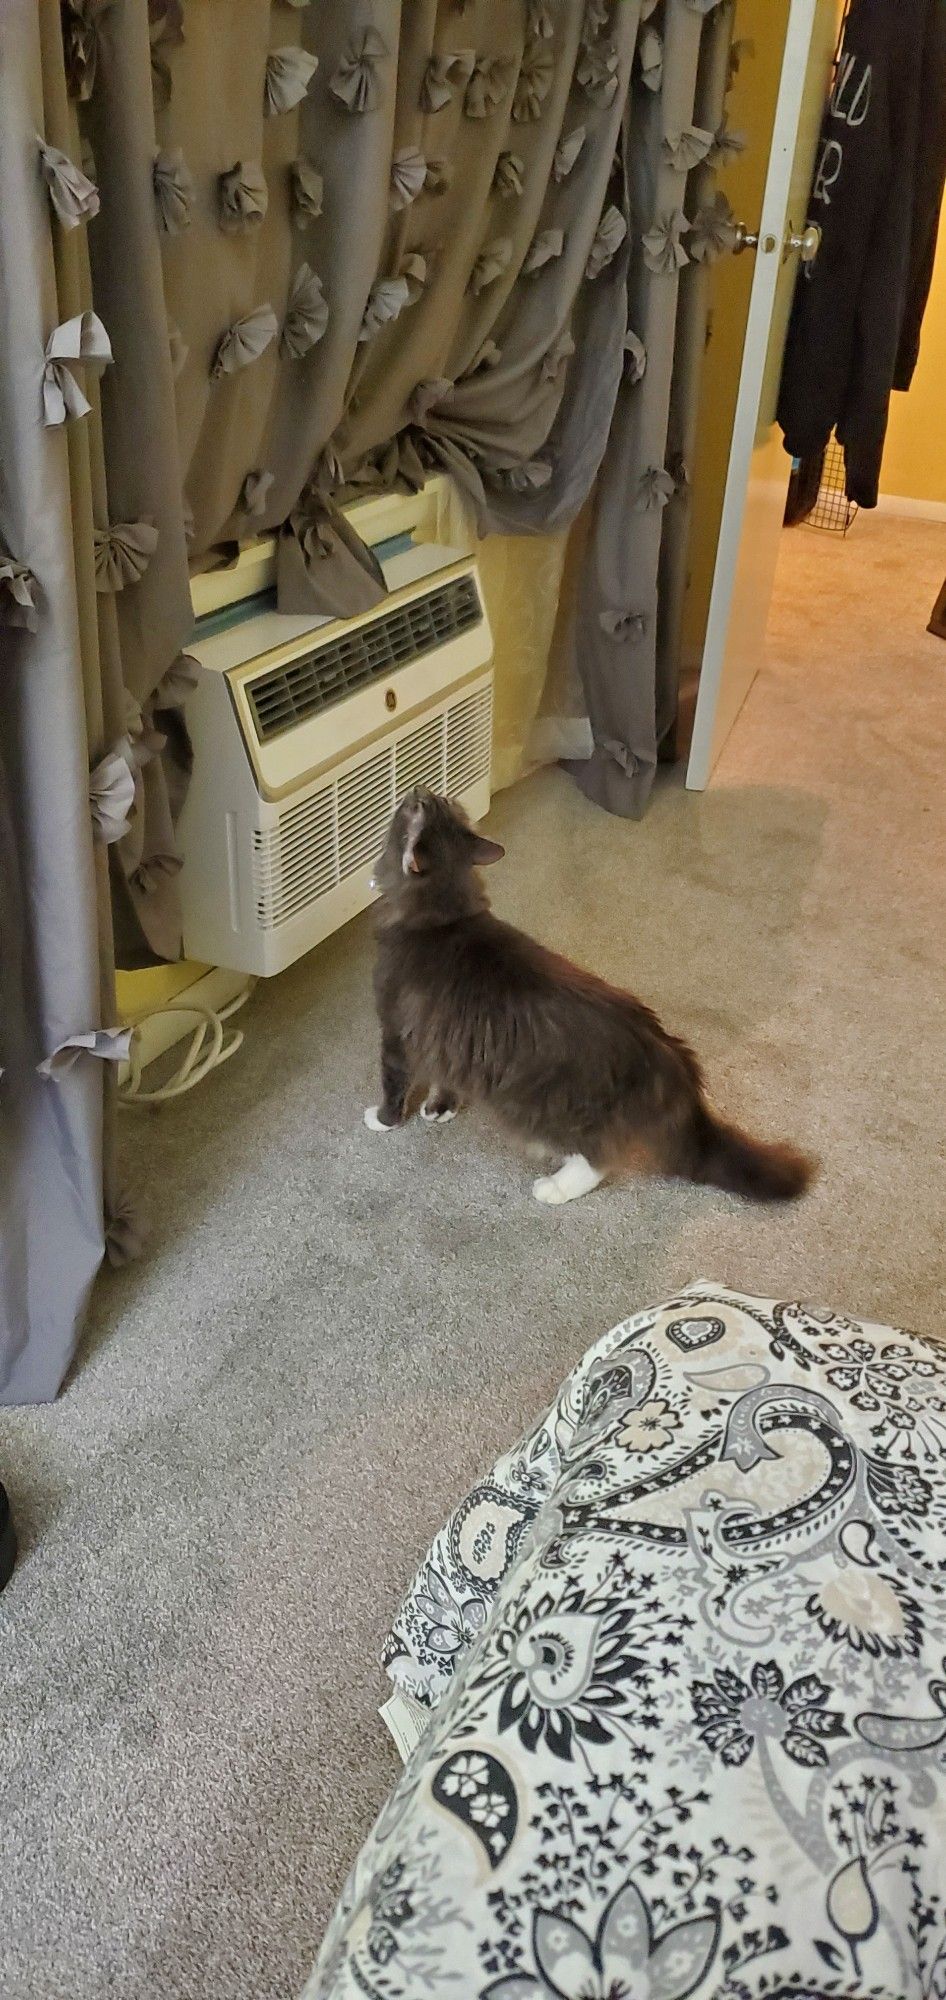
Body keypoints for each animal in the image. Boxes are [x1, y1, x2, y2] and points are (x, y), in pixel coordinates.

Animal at [362, 792, 812, 1200]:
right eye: (439, 801)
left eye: (413, 807)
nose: (420, 790)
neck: (443, 916)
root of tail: (665, 1054)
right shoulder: (442, 1035)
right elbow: (446, 1077)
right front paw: (440, 1109)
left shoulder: (395, 1027)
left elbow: (394, 1081)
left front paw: (383, 1120)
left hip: (541, 1110)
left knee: (596, 1160)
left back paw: (552, 1190)